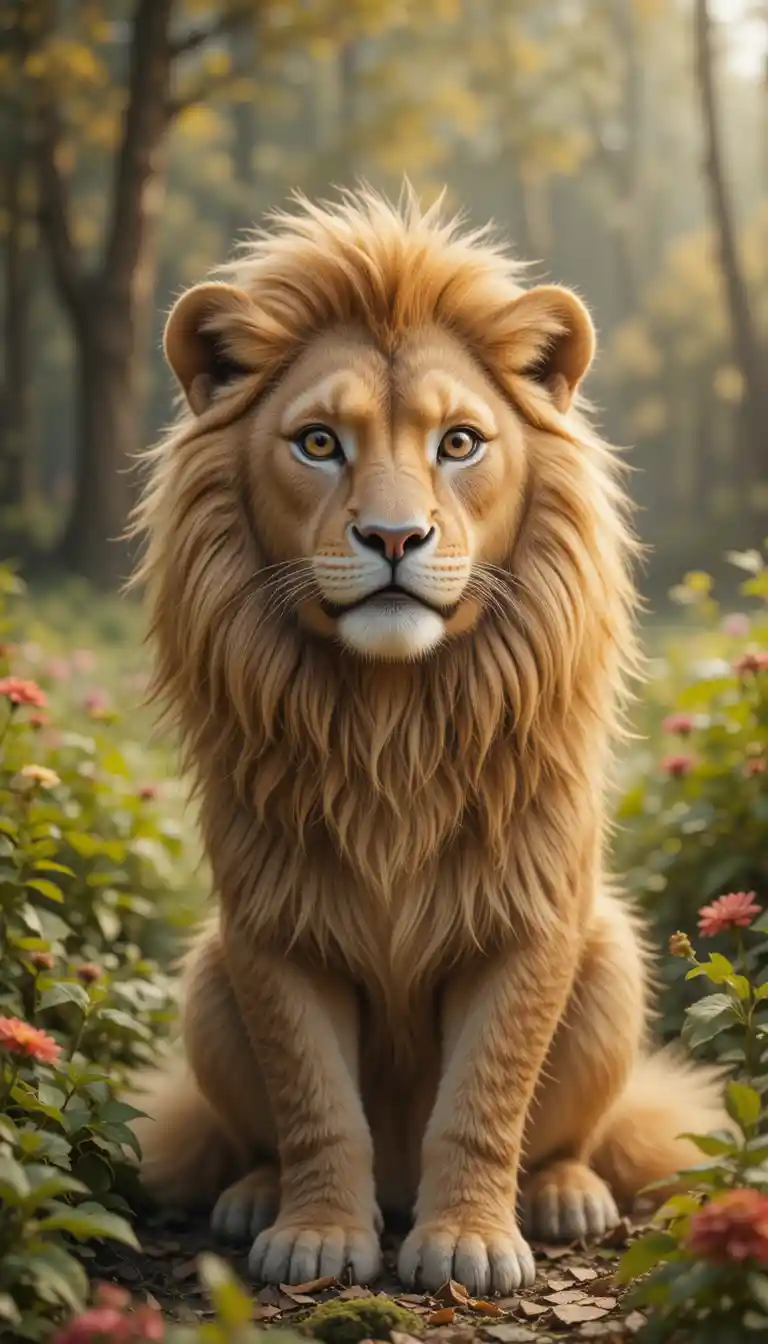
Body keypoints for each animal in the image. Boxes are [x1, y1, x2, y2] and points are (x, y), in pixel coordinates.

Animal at [131, 187, 723, 1295]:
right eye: (319, 443)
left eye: (459, 443)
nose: (396, 539)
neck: (391, 718)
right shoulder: (271, 926)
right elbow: (314, 1102)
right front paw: (317, 1236)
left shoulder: (531, 921)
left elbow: (486, 1099)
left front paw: (470, 1243)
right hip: (208, 978)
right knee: (258, 1137)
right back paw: (253, 1196)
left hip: (611, 956)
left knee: (572, 1137)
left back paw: (566, 1196)